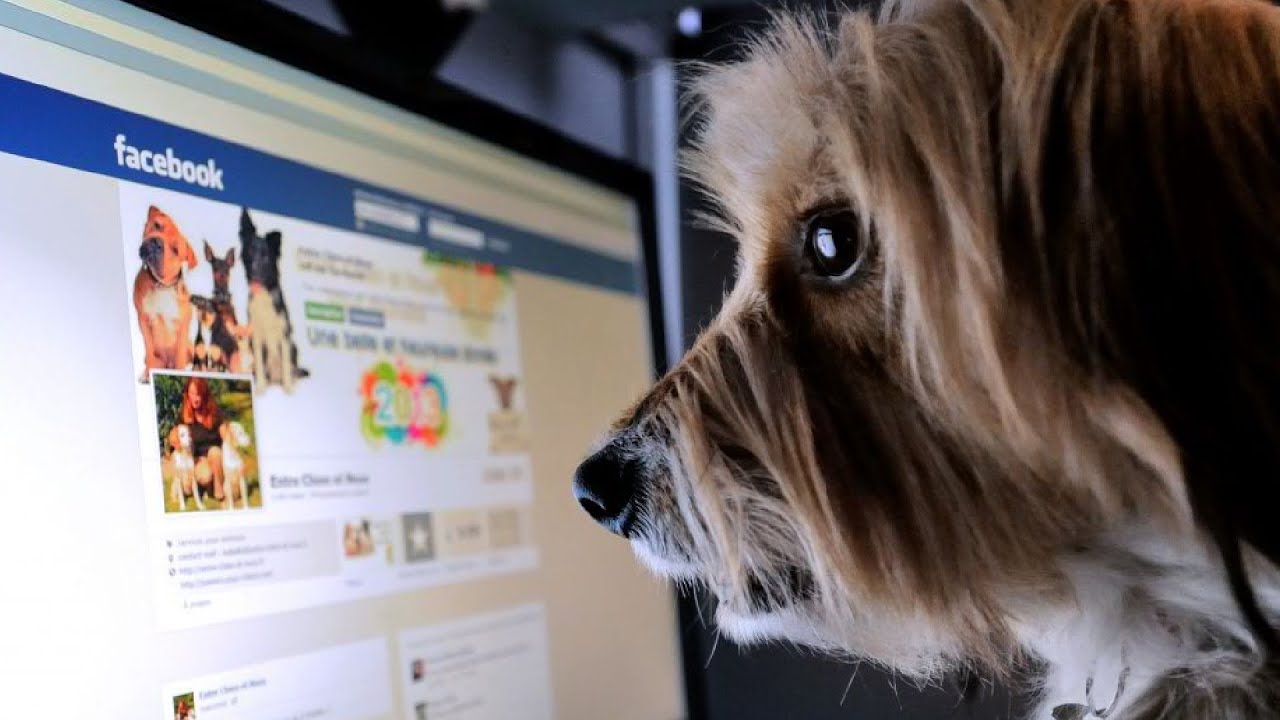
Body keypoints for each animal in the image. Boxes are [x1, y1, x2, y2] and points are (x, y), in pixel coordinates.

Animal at [133, 206, 197, 382]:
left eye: (175, 250)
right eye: (157, 225)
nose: (157, 243)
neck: (161, 285)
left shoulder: (183, 327)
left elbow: (180, 356)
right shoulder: (143, 320)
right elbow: (149, 349)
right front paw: (147, 375)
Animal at [239, 208, 308, 393]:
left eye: (265, 257)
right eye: (249, 253)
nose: (253, 272)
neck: (263, 295)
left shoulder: (284, 335)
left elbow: (285, 364)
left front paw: (289, 389)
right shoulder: (256, 337)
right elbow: (260, 365)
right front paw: (260, 388)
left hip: (293, 346)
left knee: (291, 367)